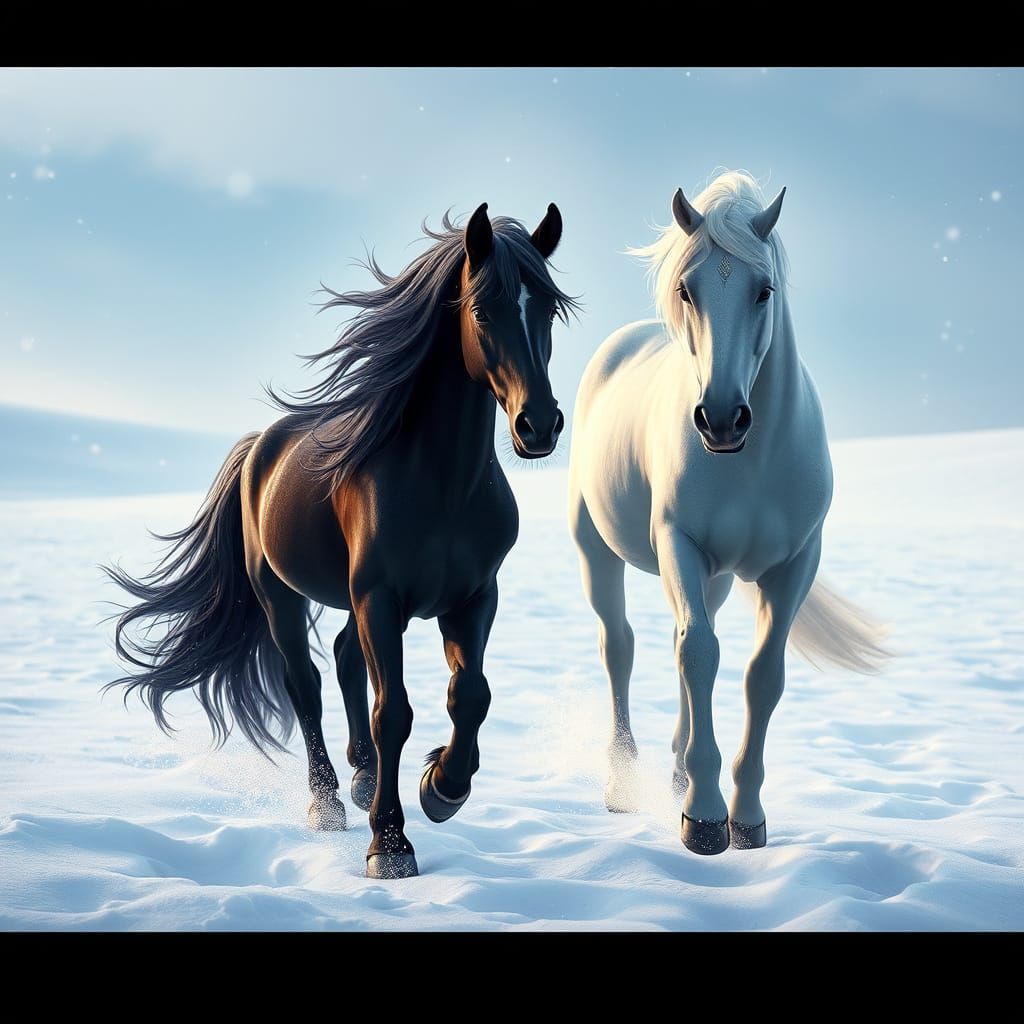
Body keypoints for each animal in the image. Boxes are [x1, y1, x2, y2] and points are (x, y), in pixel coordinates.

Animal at [106, 203, 577, 879]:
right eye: (483, 310)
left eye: (548, 311)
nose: (538, 425)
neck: (444, 483)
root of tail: (258, 447)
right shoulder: (380, 597)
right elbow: (393, 712)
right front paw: (391, 844)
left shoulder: (473, 598)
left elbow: (471, 695)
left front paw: (443, 788)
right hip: (284, 595)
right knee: (305, 684)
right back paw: (328, 801)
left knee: (347, 655)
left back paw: (362, 778)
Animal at [568, 171, 888, 855]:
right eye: (686, 290)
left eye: (763, 290)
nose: (720, 419)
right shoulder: (679, 545)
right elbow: (699, 656)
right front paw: (705, 817)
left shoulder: (795, 565)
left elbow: (761, 675)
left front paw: (745, 814)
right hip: (598, 551)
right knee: (621, 647)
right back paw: (623, 784)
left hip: (713, 578)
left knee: (680, 639)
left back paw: (676, 772)